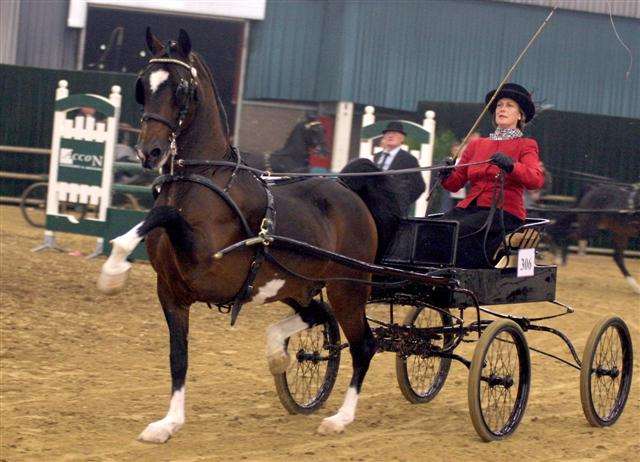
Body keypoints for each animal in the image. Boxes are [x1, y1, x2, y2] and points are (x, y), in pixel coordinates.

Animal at [96, 29, 400, 444]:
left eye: (182, 88)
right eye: (144, 85)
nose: (150, 151)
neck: (205, 179)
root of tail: (349, 192)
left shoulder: (208, 264)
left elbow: (163, 214)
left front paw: (112, 272)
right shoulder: (172, 293)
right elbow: (179, 357)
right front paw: (168, 423)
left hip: (348, 288)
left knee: (363, 344)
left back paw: (340, 419)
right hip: (296, 285)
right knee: (318, 316)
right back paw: (277, 353)